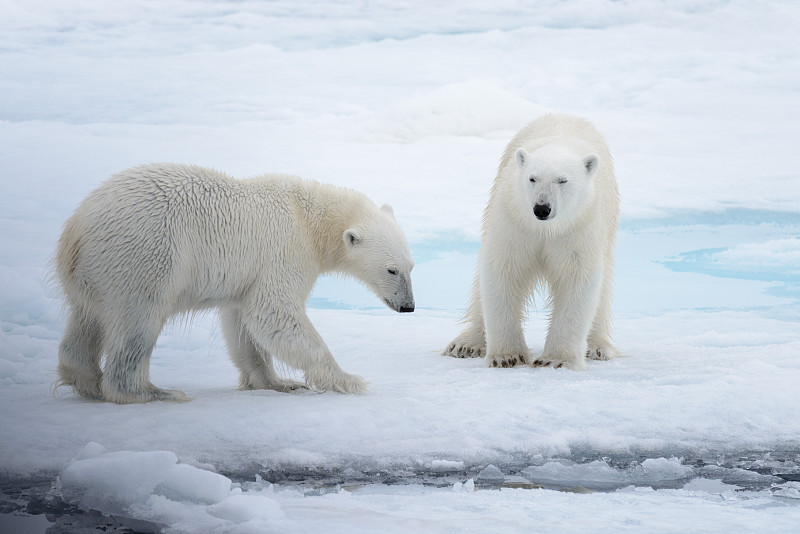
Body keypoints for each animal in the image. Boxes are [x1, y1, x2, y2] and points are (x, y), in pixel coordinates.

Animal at [56, 164, 416, 406]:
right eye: (391, 270)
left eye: (412, 267)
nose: (408, 306)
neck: (309, 220)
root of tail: (77, 228)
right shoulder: (283, 252)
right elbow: (274, 312)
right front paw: (348, 379)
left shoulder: (248, 276)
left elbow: (242, 325)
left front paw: (278, 382)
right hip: (144, 256)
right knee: (138, 320)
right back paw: (154, 392)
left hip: (96, 272)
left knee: (86, 319)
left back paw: (86, 380)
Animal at [444, 113, 620, 370]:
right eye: (532, 178)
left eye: (562, 180)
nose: (542, 208)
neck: (545, 229)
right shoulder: (515, 219)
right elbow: (504, 270)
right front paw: (507, 356)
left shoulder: (578, 227)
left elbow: (577, 277)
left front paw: (556, 359)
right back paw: (466, 344)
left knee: (603, 286)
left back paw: (597, 346)